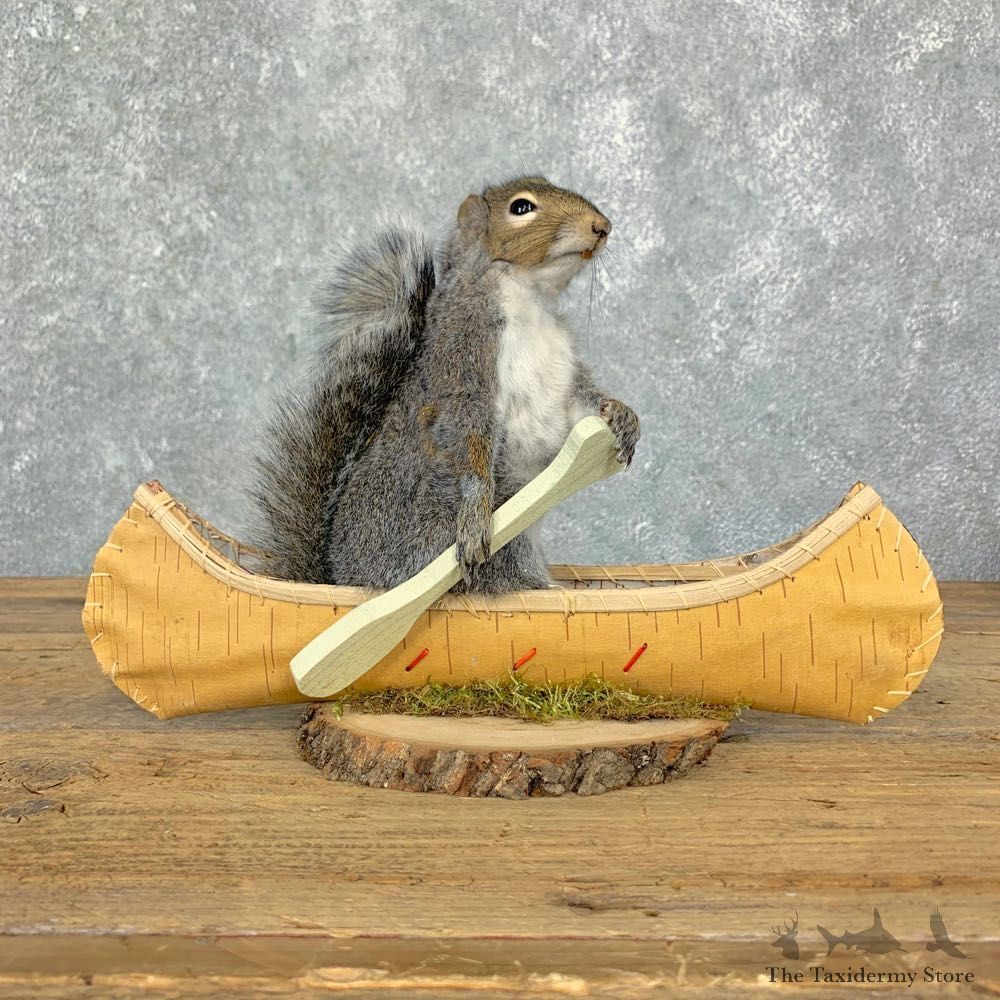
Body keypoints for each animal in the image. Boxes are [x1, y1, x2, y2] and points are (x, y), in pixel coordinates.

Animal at [251, 176, 640, 593]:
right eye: (521, 208)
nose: (602, 226)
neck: (529, 296)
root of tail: (343, 578)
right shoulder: (462, 365)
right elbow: (467, 438)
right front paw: (473, 519)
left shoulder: (563, 373)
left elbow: (580, 403)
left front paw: (623, 417)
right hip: (469, 519)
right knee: (500, 574)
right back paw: (539, 585)